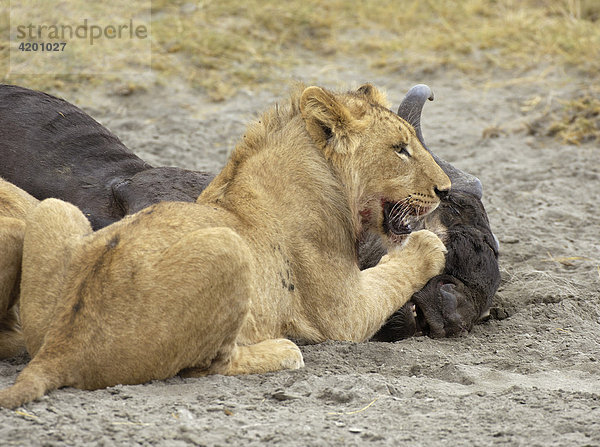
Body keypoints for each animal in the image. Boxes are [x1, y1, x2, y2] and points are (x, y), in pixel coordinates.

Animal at [0, 84, 450, 410]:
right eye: (400, 149)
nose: (444, 190)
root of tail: (60, 348)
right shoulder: (344, 316)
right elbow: (394, 272)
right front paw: (432, 242)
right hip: (228, 248)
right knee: (208, 366)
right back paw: (284, 350)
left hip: (54, 211)